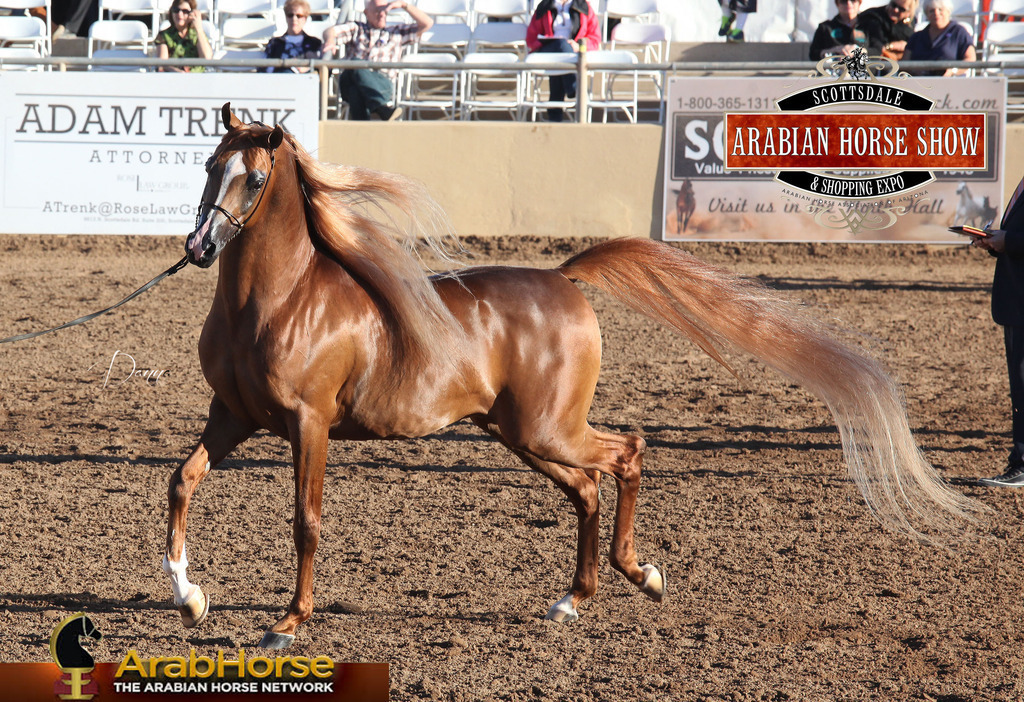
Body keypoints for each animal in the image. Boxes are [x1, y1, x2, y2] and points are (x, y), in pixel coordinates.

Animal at [164, 104, 982, 649]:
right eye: (208, 167)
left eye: (254, 178)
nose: (199, 247)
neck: (282, 298)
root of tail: (563, 277)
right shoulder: (232, 416)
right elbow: (182, 481)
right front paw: (189, 595)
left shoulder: (310, 426)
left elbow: (305, 522)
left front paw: (287, 622)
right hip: (524, 435)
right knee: (587, 488)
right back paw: (575, 599)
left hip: (546, 428)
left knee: (627, 453)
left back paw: (637, 575)